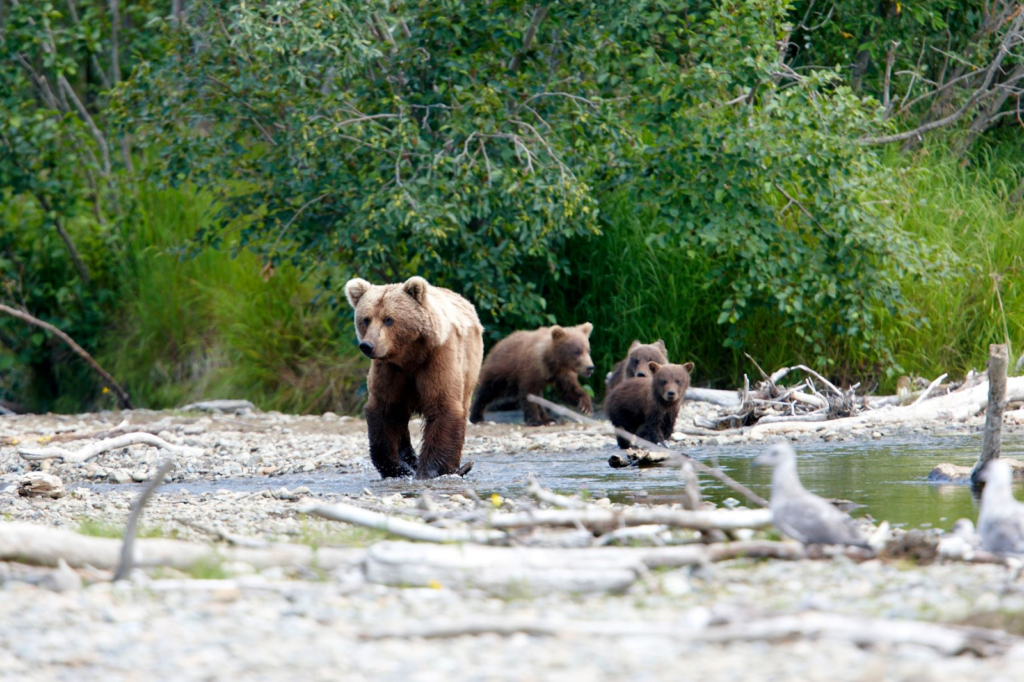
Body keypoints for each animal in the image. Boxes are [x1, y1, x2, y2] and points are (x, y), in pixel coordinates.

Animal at [346, 276, 481, 477]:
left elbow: (442, 404)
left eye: (388, 319)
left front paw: (429, 470)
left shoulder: (437, 357)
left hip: (469, 365)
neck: (409, 356)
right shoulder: (390, 369)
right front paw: (399, 468)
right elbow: (385, 410)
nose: (367, 345)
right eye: (365, 319)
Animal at [468, 319, 598, 425]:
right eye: (576, 351)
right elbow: (529, 393)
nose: (590, 367)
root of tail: (499, 343)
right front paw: (535, 420)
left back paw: (549, 418)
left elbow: (569, 389)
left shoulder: (562, 373)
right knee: (487, 390)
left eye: (588, 350)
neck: (553, 362)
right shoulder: (532, 369)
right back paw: (476, 416)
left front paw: (586, 406)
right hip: (501, 371)